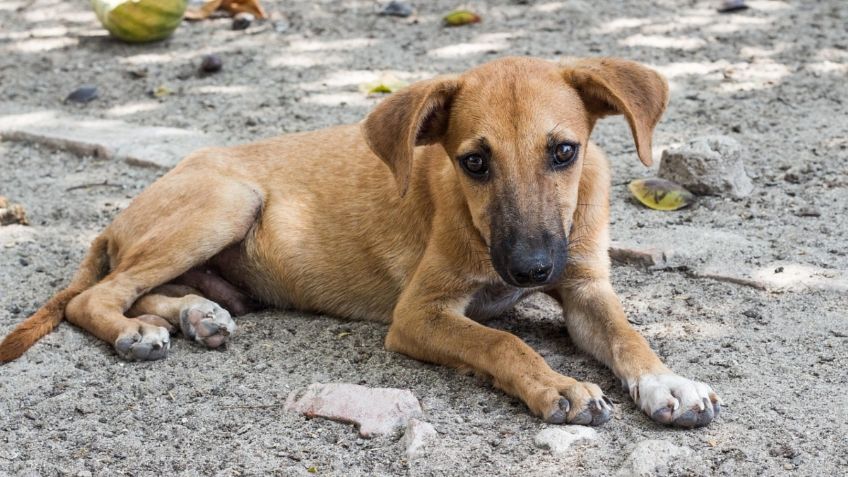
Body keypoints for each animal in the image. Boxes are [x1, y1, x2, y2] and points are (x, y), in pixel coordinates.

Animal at [0, 56, 724, 428]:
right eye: (474, 162)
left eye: (564, 151)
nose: (530, 269)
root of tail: (116, 218)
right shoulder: (419, 314)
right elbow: (502, 341)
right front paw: (559, 385)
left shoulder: (585, 288)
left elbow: (629, 337)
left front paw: (669, 383)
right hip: (227, 200)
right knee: (95, 297)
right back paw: (135, 331)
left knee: (149, 290)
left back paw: (196, 315)